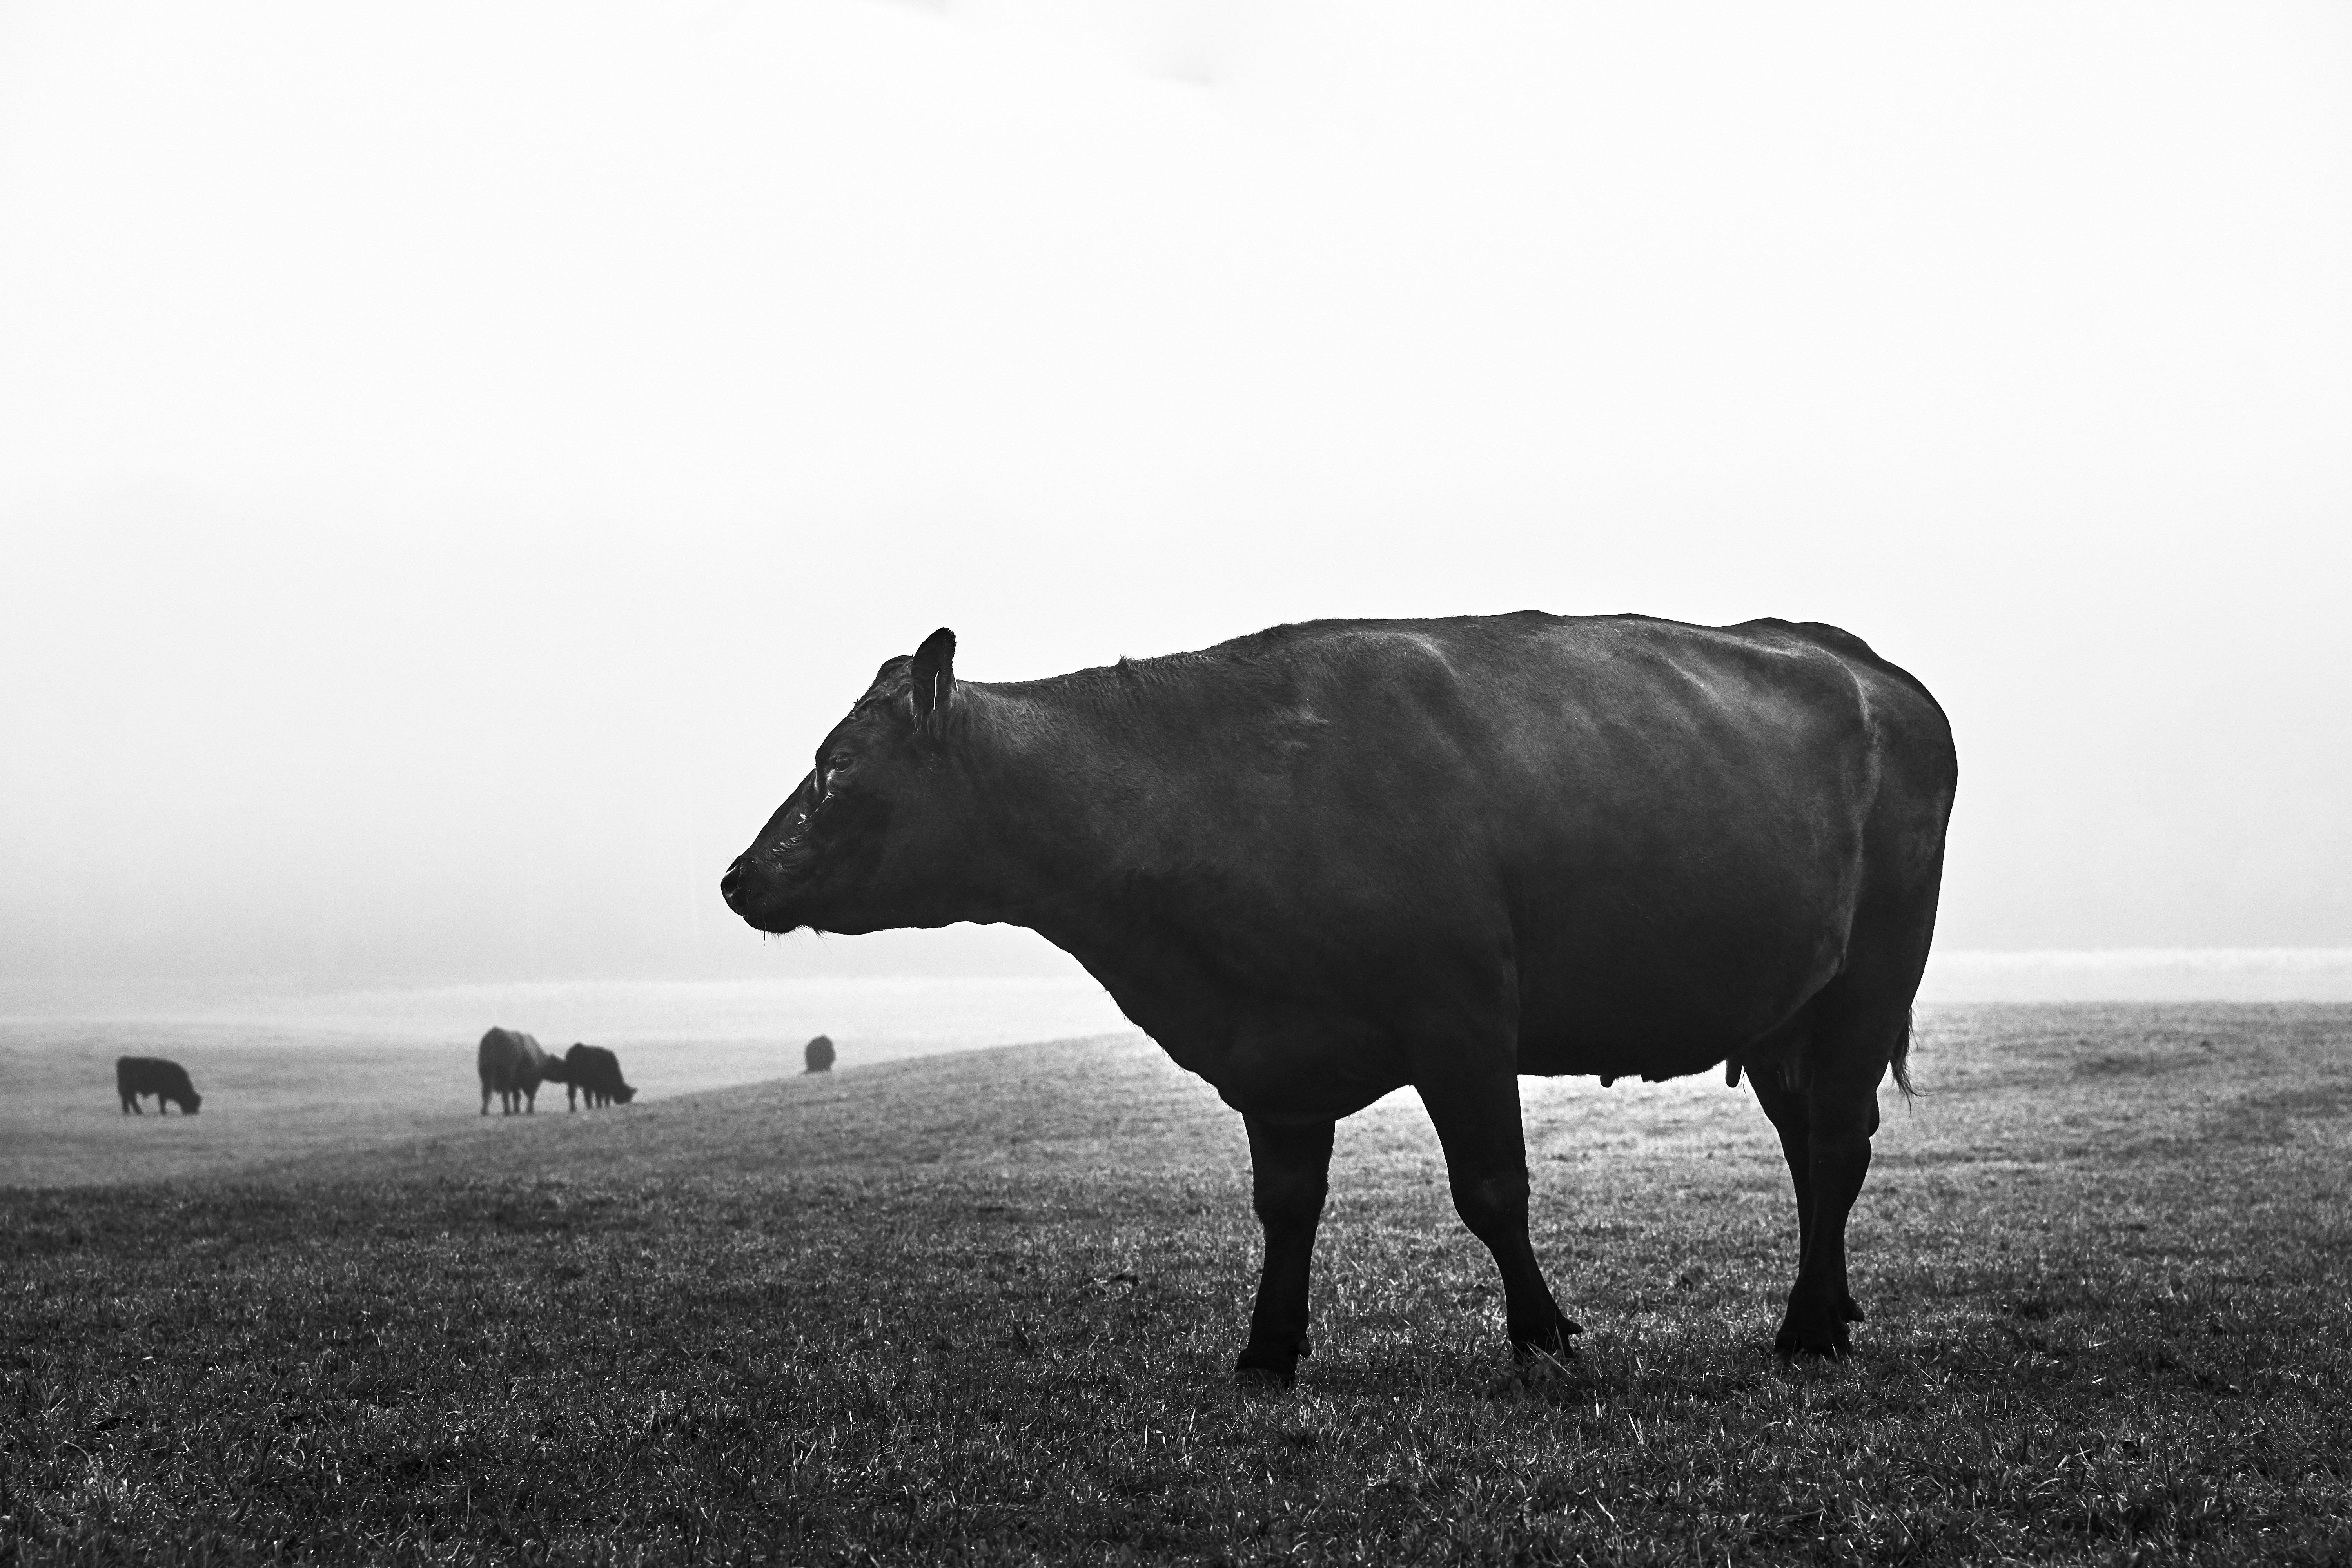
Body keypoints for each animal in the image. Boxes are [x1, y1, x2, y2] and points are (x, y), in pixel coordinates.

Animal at [116, 1056, 201, 1115]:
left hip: (131, 1089)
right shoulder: (162, 1093)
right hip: (129, 1089)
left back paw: (132, 1112)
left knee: (129, 1099)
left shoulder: (162, 1093)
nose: (194, 1112)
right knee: (130, 1099)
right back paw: (137, 1112)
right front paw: (164, 1113)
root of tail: (124, 1060)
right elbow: (162, 1102)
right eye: (193, 1101)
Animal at [478, 1027, 562, 1115]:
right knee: (504, 1093)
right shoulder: (534, 1083)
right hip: (506, 1076)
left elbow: (517, 1097)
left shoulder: (516, 1085)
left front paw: (517, 1110)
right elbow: (530, 1097)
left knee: (486, 1093)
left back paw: (485, 1112)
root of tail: (494, 1036)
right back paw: (507, 1112)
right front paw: (530, 1110)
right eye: (558, 1065)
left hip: (486, 1076)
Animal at [563, 1043, 636, 1109]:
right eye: (625, 1094)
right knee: (582, 1095)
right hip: (581, 1082)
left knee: (575, 1094)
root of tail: (577, 1048)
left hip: (574, 1082)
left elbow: (603, 1097)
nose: (623, 1102)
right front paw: (602, 1106)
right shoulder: (600, 1086)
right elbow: (602, 1097)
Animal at [720, 615, 1956, 1380]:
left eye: (836, 763)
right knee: (1808, 1142)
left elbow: (1492, 1189)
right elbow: (1286, 1205)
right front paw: (1268, 1349)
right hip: (1792, 1008)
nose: (738, 876)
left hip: (1872, 978)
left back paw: (1807, 1328)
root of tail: (1863, 663)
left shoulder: (1464, 1015)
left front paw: (1544, 1334)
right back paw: (1829, 1306)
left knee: (1837, 1140)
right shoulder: (1276, 1053)